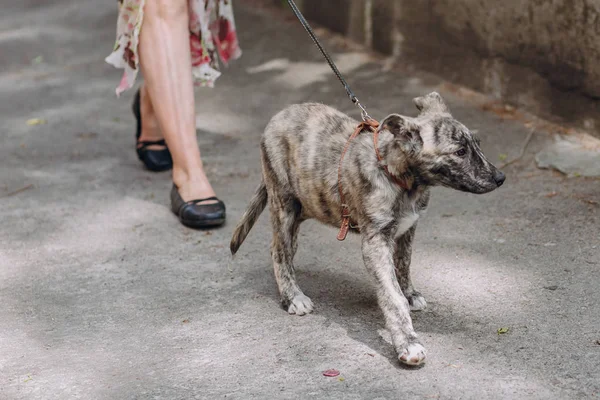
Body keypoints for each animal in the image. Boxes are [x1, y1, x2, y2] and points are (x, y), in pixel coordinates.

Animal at [232, 93, 504, 366]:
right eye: (460, 152)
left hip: (302, 206)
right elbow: (392, 296)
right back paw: (292, 297)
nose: (500, 178)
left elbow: (404, 264)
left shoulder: (408, 228)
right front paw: (408, 343)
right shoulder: (376, 242)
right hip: (284, 203)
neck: (398, 176)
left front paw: (410, 294)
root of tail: (280, 115)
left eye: (477, 145)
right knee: (279, 250)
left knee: (286, 249)